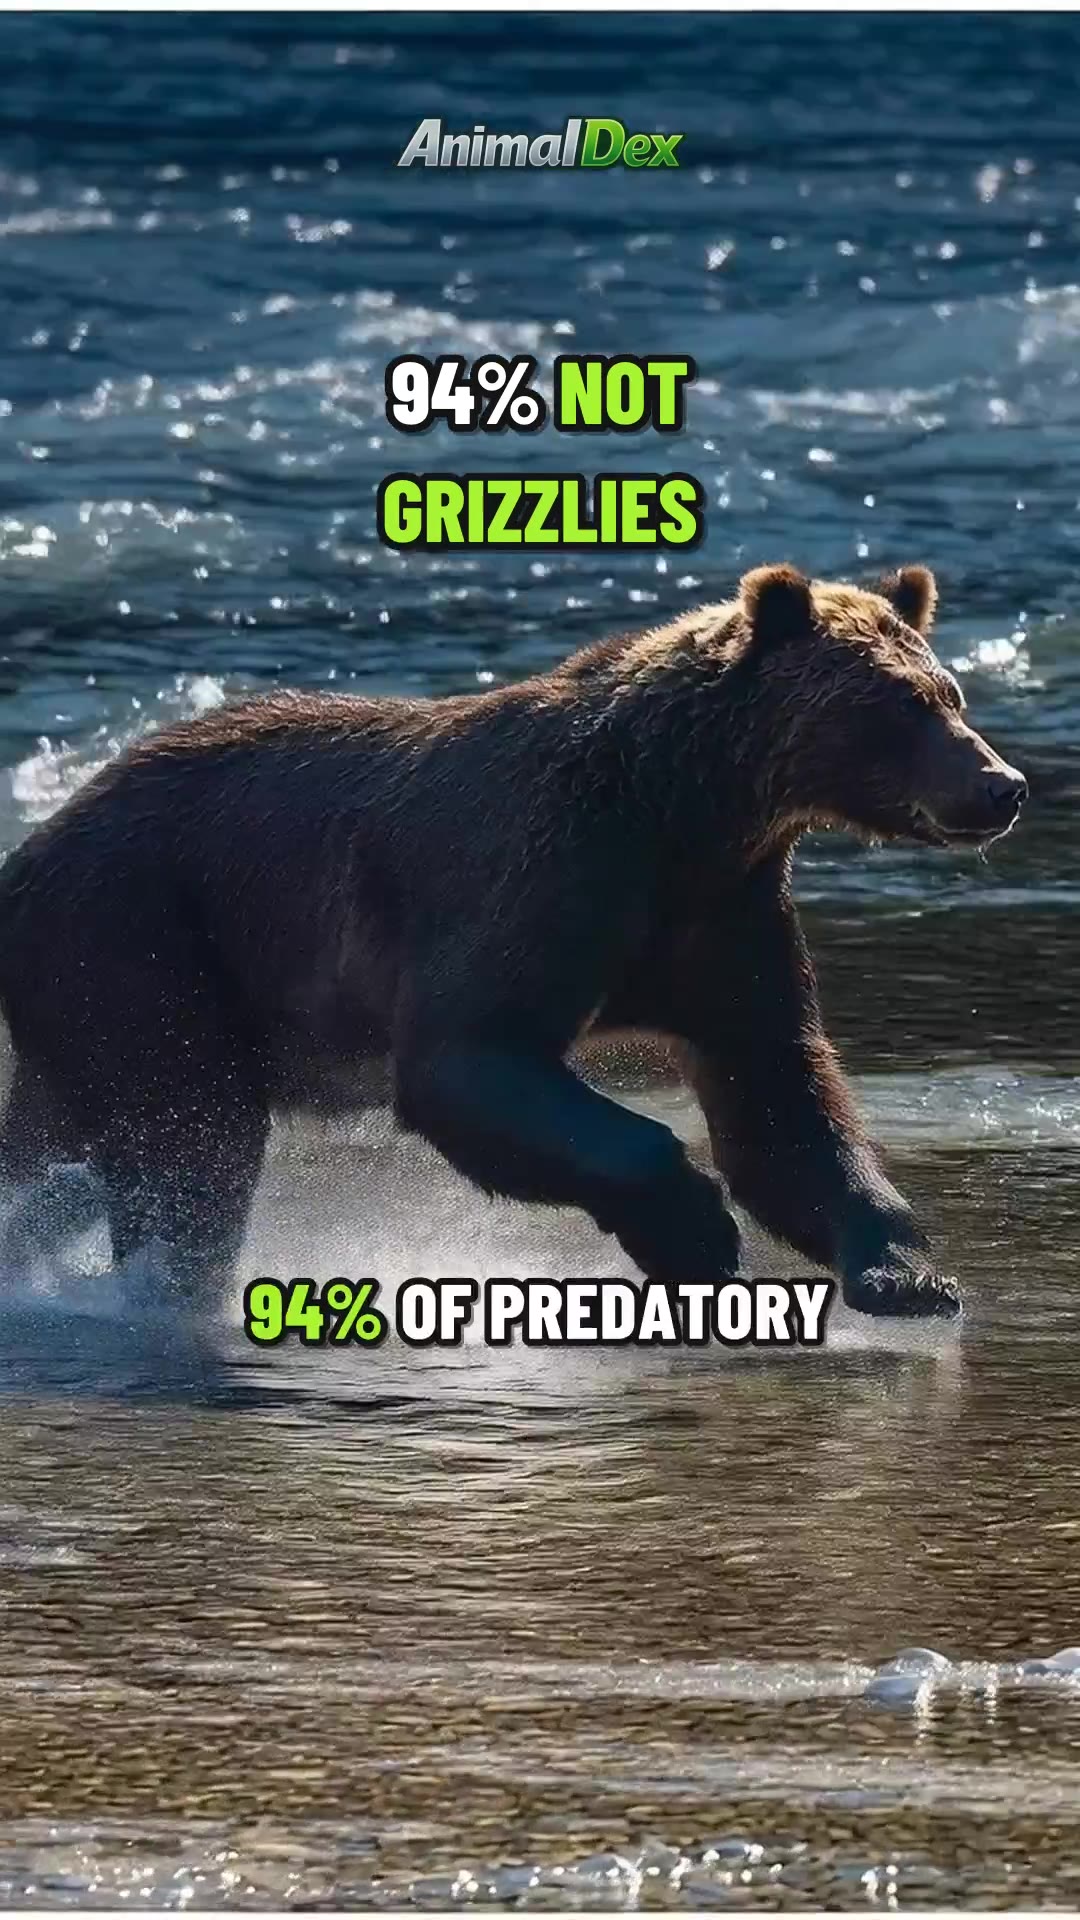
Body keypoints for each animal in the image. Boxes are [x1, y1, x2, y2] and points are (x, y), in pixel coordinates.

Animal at [0, 562, 1026, 1316]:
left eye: (952, 692)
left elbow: (779, 1093)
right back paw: (171, 1289)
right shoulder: (543, 870)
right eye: (898, 704)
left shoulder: (724, 920)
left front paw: (907, 1273)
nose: (1002, 785)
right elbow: (470, 1055)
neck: (683, 811)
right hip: (141, 937)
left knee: (57, 1146)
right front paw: (694, 1230)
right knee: (190, 1133)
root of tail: (35, 845)